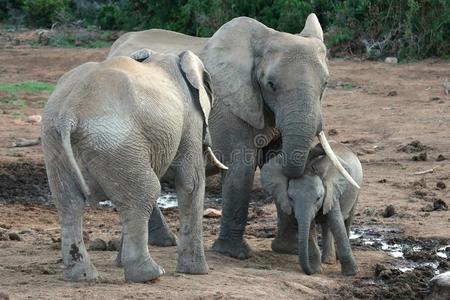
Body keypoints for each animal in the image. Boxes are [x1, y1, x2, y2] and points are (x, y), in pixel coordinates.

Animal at [40, 48, 227, 282]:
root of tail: (69, 114)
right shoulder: (190, 119)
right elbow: (191, 183)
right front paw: (197, 272)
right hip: (115, 141)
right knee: (145, 193)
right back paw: (150, 274)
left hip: (56, 141)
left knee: (69, 203)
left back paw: (83, 276)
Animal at [108, 14, 348, 258]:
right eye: (270, 85)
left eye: (325, 84)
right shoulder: (229, 107)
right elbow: (241, 168)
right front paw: (236, 254)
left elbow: (275, 160)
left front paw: (286, 250)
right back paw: (163, 241)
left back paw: (163, 241)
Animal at [262, 142, 364, 276]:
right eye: (291, 198)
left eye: (318, 198)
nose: (319, 145)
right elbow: (309, 226)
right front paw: (316, 269)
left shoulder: (331, 191)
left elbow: (336, 221)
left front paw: (352, 273)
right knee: (326, 225)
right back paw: (328, 260)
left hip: (357, 190)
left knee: (347, 220)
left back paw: (332, 260)